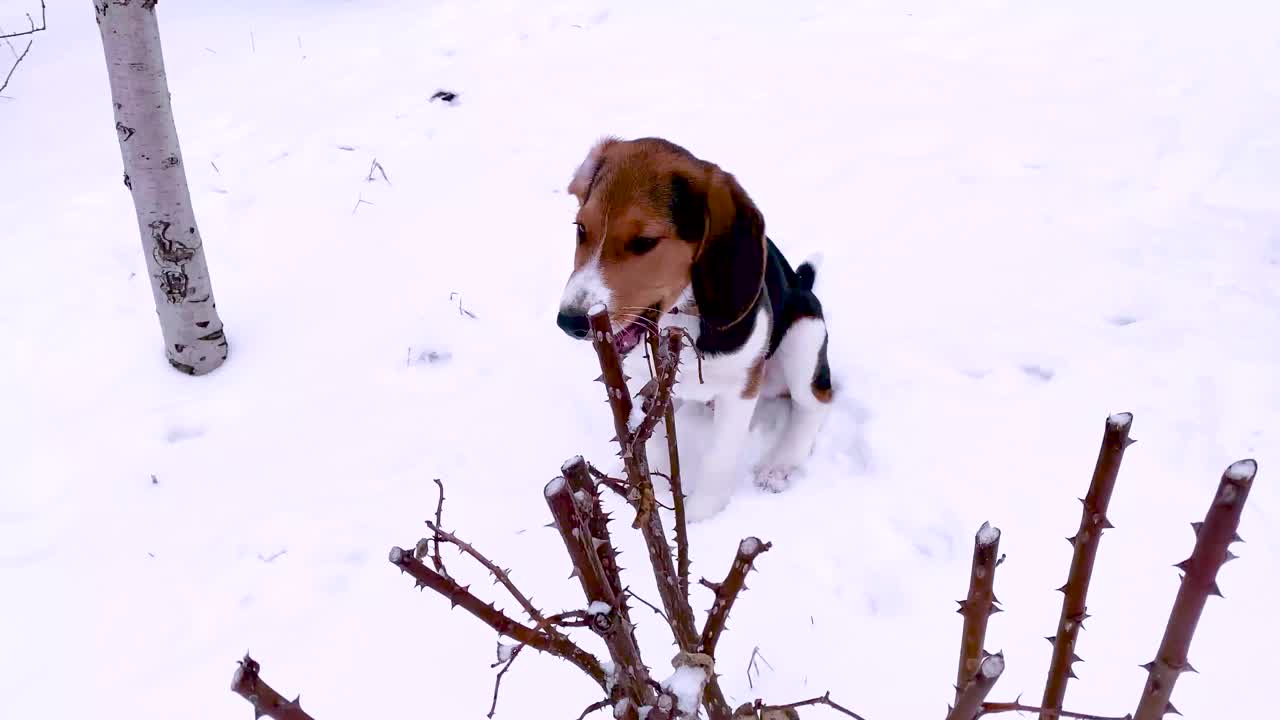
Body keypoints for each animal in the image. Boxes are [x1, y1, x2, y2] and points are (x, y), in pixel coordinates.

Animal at [555, 134, 834, 517]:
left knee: (815, 402)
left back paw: (780, 465)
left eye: (644, 242)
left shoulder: (741, 386)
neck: (677, 317)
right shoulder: (640, 382)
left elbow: (719, 459)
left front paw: (700, 518)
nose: (569, 321)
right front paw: (650, 491)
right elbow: (648, 436)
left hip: (804, 332)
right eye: (581, 229)